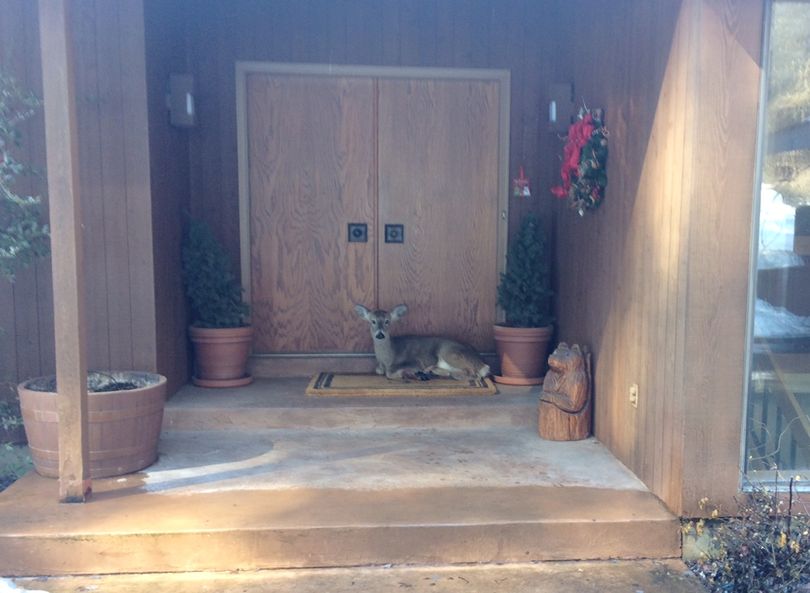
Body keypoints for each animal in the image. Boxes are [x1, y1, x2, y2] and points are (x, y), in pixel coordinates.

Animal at [356, 302, 492, 382]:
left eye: (387, 321)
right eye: (372, 321)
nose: (380, 334)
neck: (388, 357)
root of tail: (480, 361)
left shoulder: (414, 361)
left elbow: (389, 373)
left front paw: (405, 374)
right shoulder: (380, 366)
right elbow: (378, 370)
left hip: (450, 353)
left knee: (474, 374)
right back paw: (428, 373)